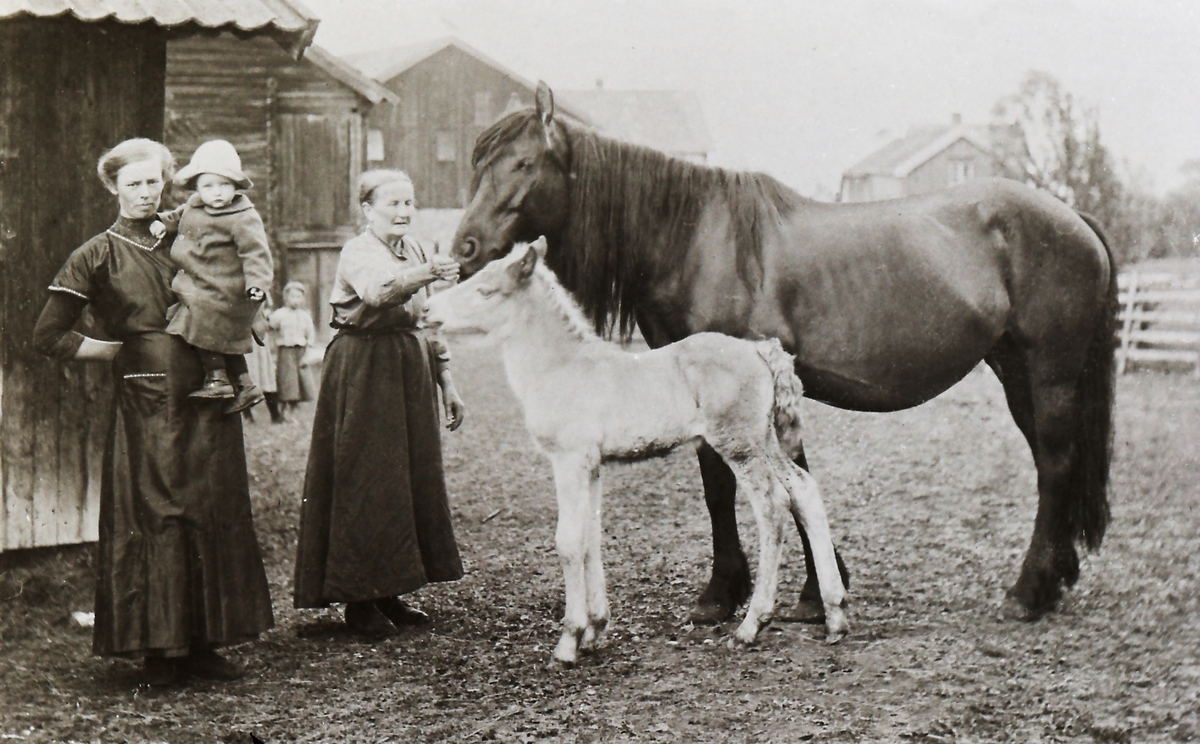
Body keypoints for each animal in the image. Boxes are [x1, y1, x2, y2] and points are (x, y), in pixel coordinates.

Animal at [427, 240, 849, 667]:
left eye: (486, 291)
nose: (427, 310)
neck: (562, 368)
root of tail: (761, 349)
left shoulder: (569, 459)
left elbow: (568, 541)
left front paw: (568, 642)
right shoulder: (592, 465)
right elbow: (590, 537)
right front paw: (595, 629)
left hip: (740, 444)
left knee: (772, 507)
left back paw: (752, 626)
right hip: (765, 440)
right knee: (803, 489)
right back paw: (834, 615)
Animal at [451, 84, 1113, 624]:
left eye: (524, 163)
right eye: (478, 166)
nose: (464, 246)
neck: (695, 239)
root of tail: (1071, 217)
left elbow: (747, 483)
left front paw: (754, 593)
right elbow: (732, 485)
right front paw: (791, 592)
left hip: (1050, 372)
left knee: (1056, 463)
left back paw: (1028, 592)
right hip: (1016, 372)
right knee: (1051, 461)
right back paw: (1056, 577)